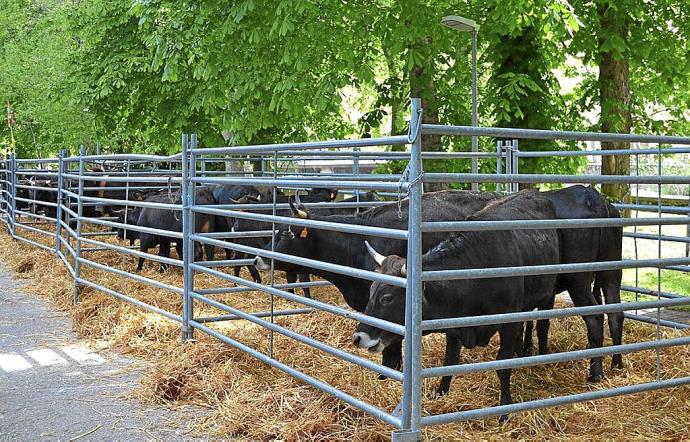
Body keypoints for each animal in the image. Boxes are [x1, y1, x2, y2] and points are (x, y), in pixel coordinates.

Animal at [350, 192, 560, 420]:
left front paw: (505, 408)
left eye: (387, 298)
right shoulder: (454, 325)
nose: (357, 337)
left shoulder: (508, 322)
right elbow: (449, 361)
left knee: (542, 327)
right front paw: (441, 394)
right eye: (371, 292)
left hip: (546, 296)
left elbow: (502, 366)